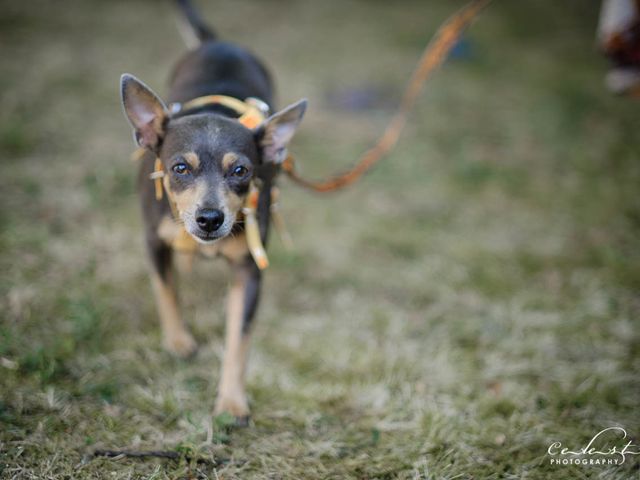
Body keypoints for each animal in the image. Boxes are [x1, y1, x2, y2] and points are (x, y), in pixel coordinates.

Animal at [122, 0, 308, 420]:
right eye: (179, 168)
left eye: (241, 171)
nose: (209, 219)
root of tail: (219, 42)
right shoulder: (153, 241)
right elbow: (166, 289)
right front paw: (178, 340)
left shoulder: (249, 270)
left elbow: (239, 340)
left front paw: (232, 401)